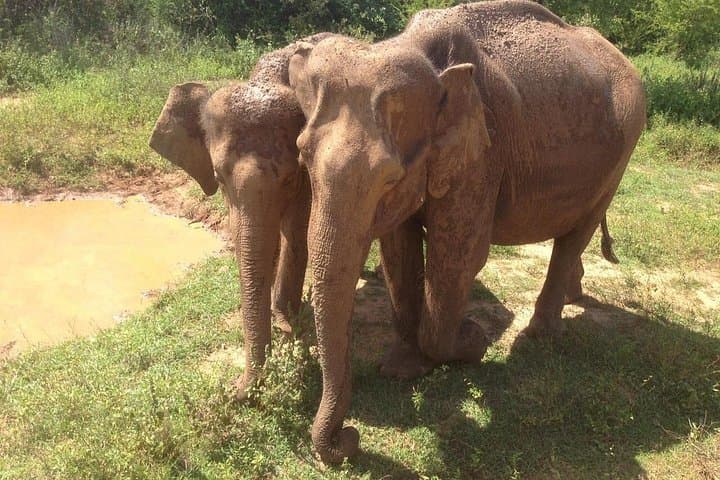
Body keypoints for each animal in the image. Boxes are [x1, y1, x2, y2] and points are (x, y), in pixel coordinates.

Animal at [149, 33, 334, 399]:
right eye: (218, 178)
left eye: (290, 178)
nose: (233, 388)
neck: (267, 76)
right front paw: (283, 321)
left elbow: (295, 230)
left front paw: (286, 321)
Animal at [287, 0, 646, 462]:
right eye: (302, 157)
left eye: (389, 178)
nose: (349, 438)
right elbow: (398, 251)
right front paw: (402, 369)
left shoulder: (481, 153)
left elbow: (457, 256)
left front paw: (471, 341)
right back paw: (572, 297)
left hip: (620, 155)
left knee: (577, 231)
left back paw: (538, 337)